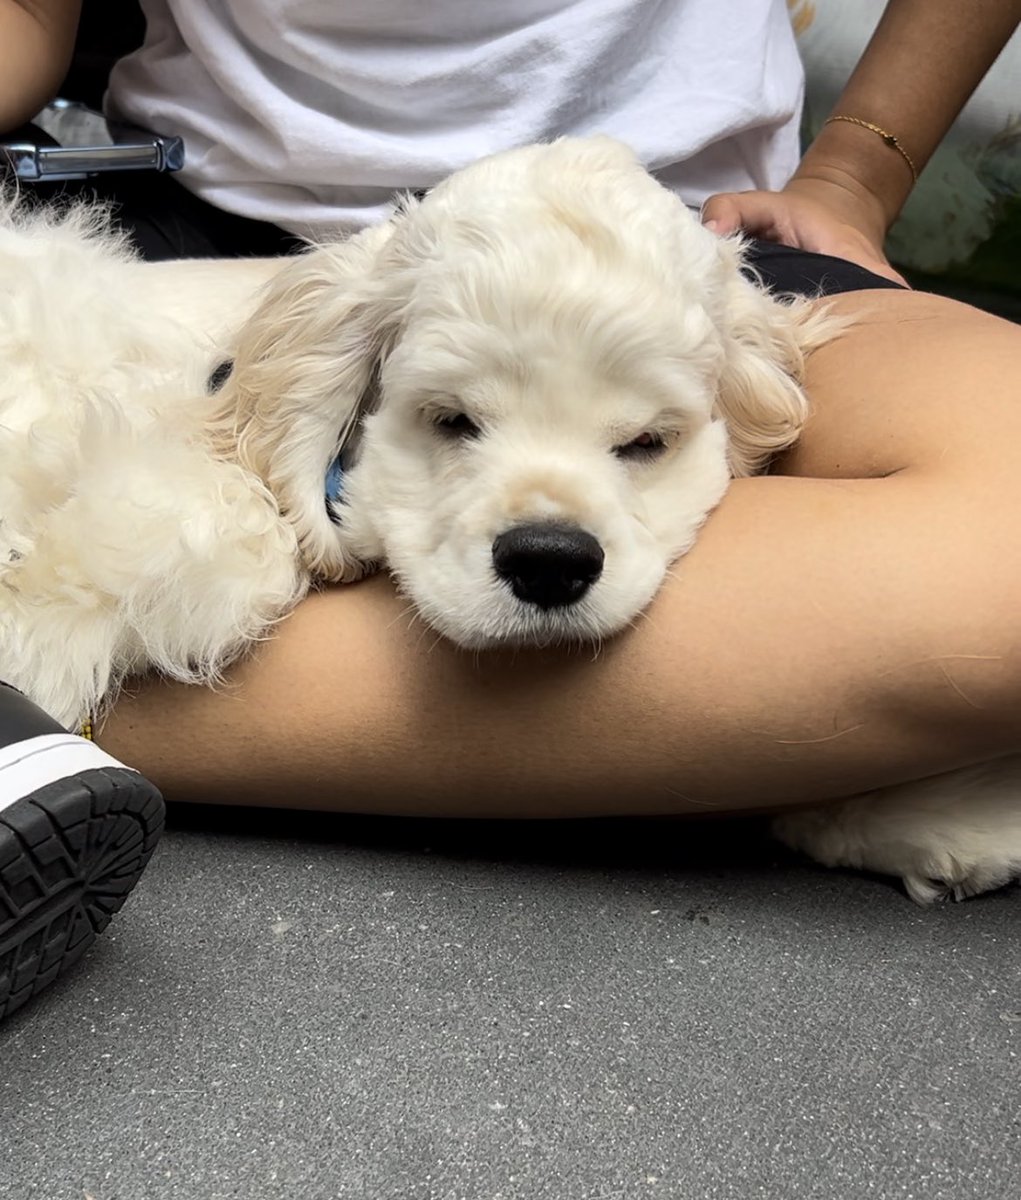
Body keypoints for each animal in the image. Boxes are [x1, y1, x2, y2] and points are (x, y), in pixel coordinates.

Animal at [3, 138, 1017, 902]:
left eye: (645, 442)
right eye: (453, 421)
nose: (548, 561)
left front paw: (950, 815)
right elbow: (221, 534)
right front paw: (41, 633)